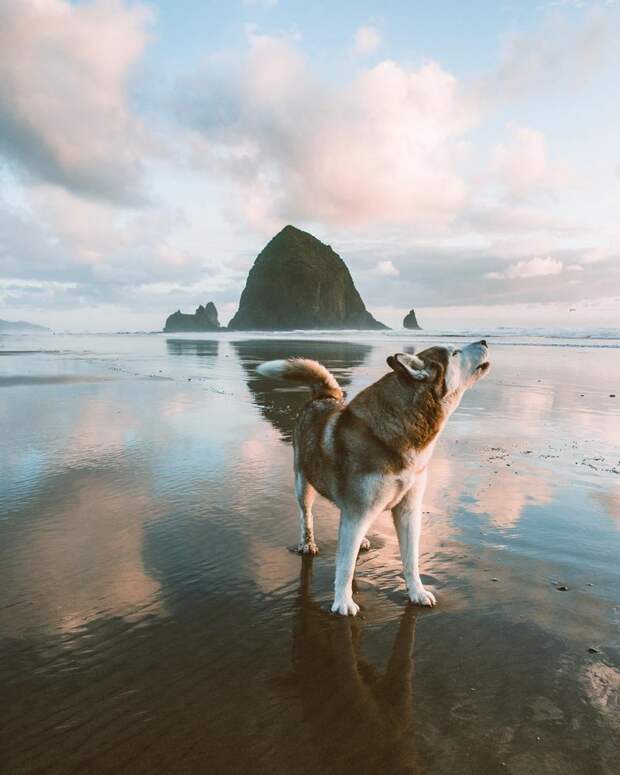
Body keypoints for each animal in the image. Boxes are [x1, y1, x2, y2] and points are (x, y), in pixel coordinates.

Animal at [256, 342, 490, 616]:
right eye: (455, 353)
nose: (484, 342)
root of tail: (322, 397)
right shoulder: (358, 511)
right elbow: (345, 565)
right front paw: (343, 602)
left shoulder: (408, 510)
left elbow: (411, 559)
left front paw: (417, 592)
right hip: (303, 484)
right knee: (306, 516)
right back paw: (308, 543)